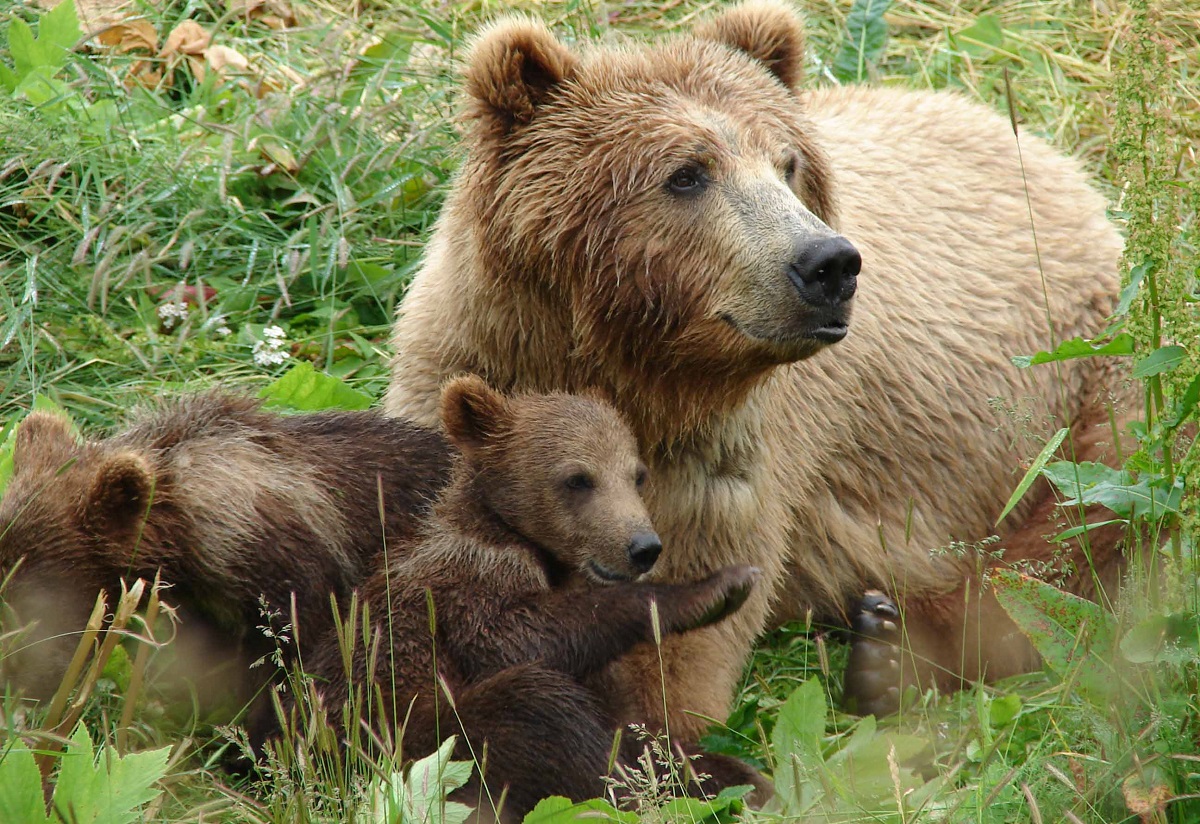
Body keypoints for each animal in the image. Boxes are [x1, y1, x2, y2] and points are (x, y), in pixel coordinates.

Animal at [381, 1, 1123, 734]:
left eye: (787, 163)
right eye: (687, 173)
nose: (829, 264)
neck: (630, 369)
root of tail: (1045, 151)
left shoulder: (725, 462)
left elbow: (678, 647)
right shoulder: (468, 374)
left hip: (1082, 377)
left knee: (1074, 544)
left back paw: (890, 654)